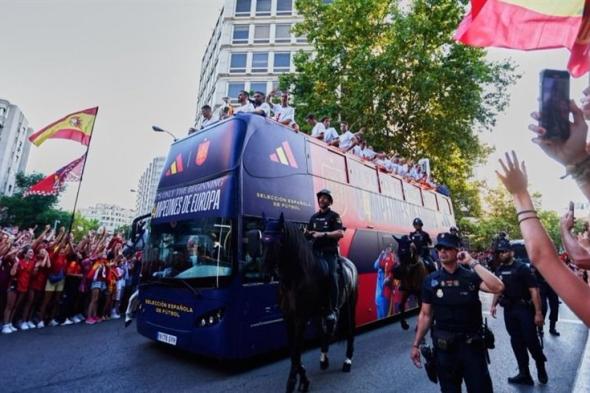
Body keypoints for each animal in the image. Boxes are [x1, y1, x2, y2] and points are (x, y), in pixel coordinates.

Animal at [262, 214, 358, 392]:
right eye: (262, 241)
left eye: (277, 242)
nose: (265, 274)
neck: (294, 280)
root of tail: (349, 264)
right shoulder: (289, 319)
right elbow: (293, 349)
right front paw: (303, 379)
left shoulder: (300, 319)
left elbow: (297, 350)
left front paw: (293, 382)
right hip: (321, 314)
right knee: (325, 332)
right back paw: (324, 359)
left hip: (350, 305)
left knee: (350, 330)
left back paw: (347, 361)